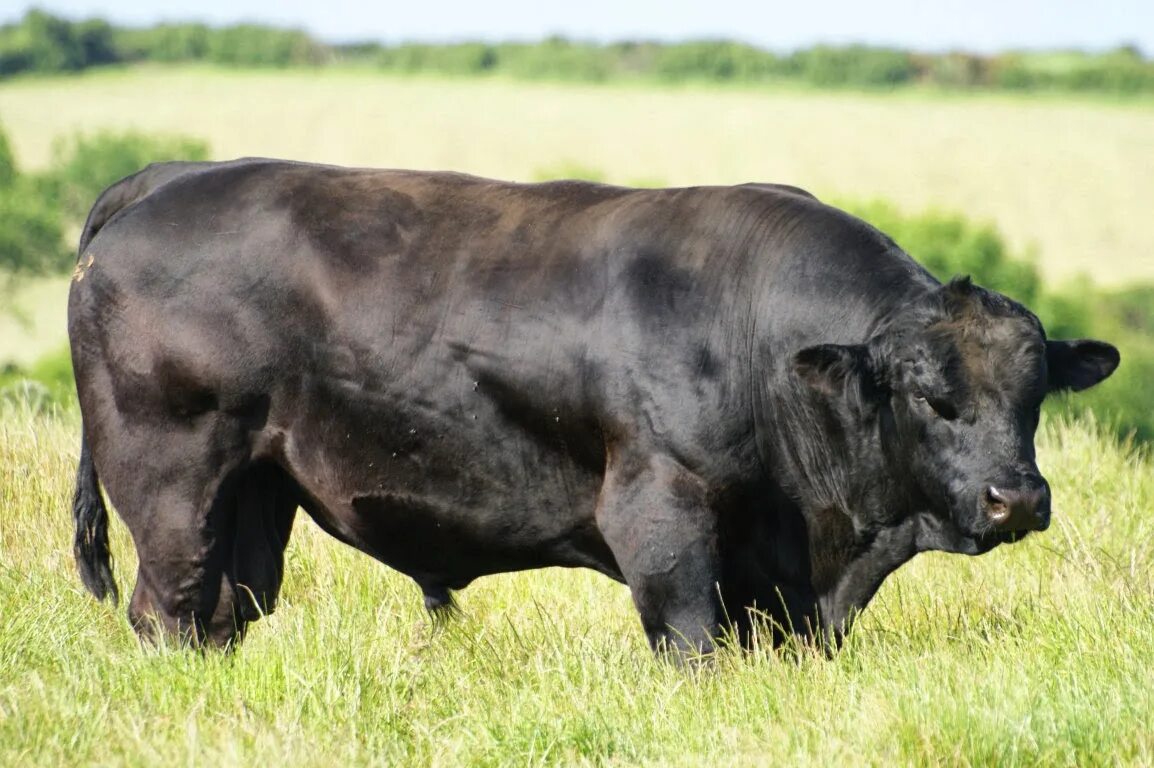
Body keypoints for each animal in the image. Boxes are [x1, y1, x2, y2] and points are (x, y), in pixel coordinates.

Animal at [67, 160, 1121, 650]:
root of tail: (171, 177)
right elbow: (691, 644)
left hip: (255, 492)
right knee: (165, 608)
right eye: (931, 398)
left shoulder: (777, 580)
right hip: (170, 479)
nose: (1018, 499)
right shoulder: (661, 518)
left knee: (223, 608)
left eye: (1033, 397)